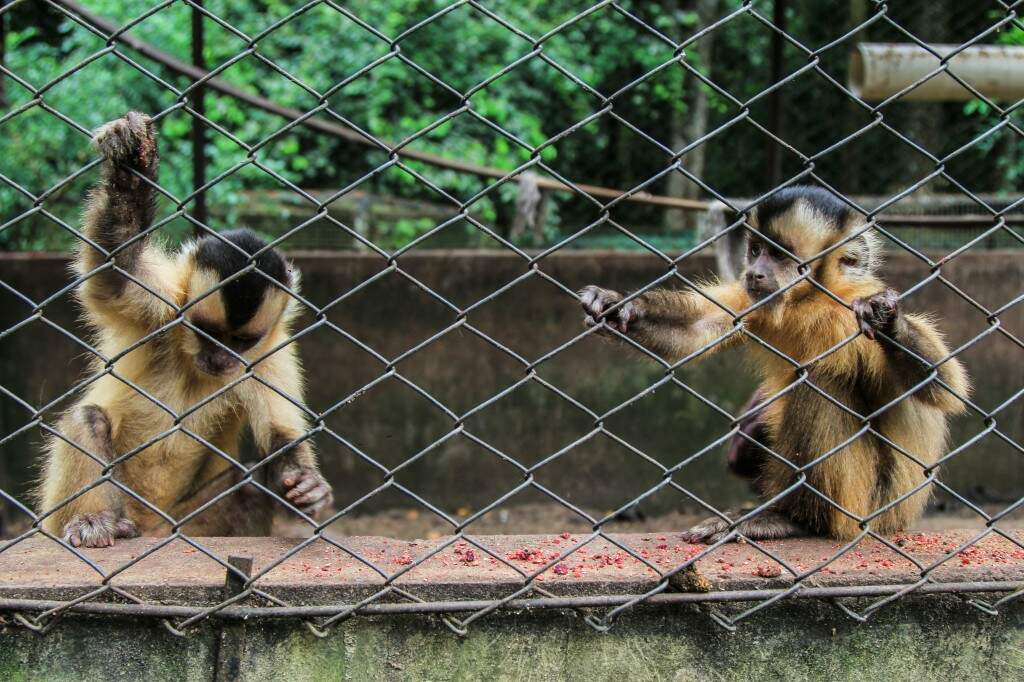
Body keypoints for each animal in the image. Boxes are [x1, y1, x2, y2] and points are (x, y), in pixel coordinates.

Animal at [35, 111, 331, 548]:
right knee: (88, 420)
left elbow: (280, 434)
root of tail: (153, 528)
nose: (220, 358)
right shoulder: (162, 312)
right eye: (207, 333)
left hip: (186, 523)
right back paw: (95, 521)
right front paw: (131, 168)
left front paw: (307, 485)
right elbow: (113, 276)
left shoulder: (268, 352)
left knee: (247, 489)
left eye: (241, 342)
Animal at [581, 186, 970, 540]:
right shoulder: (754, 299)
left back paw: (795, 520)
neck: (808, 300)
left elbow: (942, 388)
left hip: (872, 507)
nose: (755, 271)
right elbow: (696, 328)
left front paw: (888, 320)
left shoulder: (848, 312)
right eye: (755, 250)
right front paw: (619, 307)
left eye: (780, 255)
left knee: (823, 382)